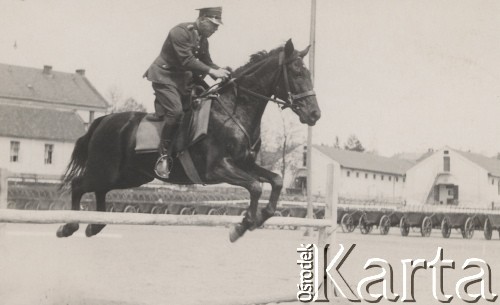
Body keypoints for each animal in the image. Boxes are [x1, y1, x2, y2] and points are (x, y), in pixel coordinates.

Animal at [55, 39, 320, 241]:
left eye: (308, 74)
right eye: (297, 73)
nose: (315, 114)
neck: (234, 110)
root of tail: (103, 120)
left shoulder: (245, 164)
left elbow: (276, 180)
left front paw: (259, 217)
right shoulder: (217, 168)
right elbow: (255, 186)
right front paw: (242, 225)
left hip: (128, 176)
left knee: (100, 190)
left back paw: (94, 225)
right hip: (106, 169)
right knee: (79, 185)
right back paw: (69, 226)